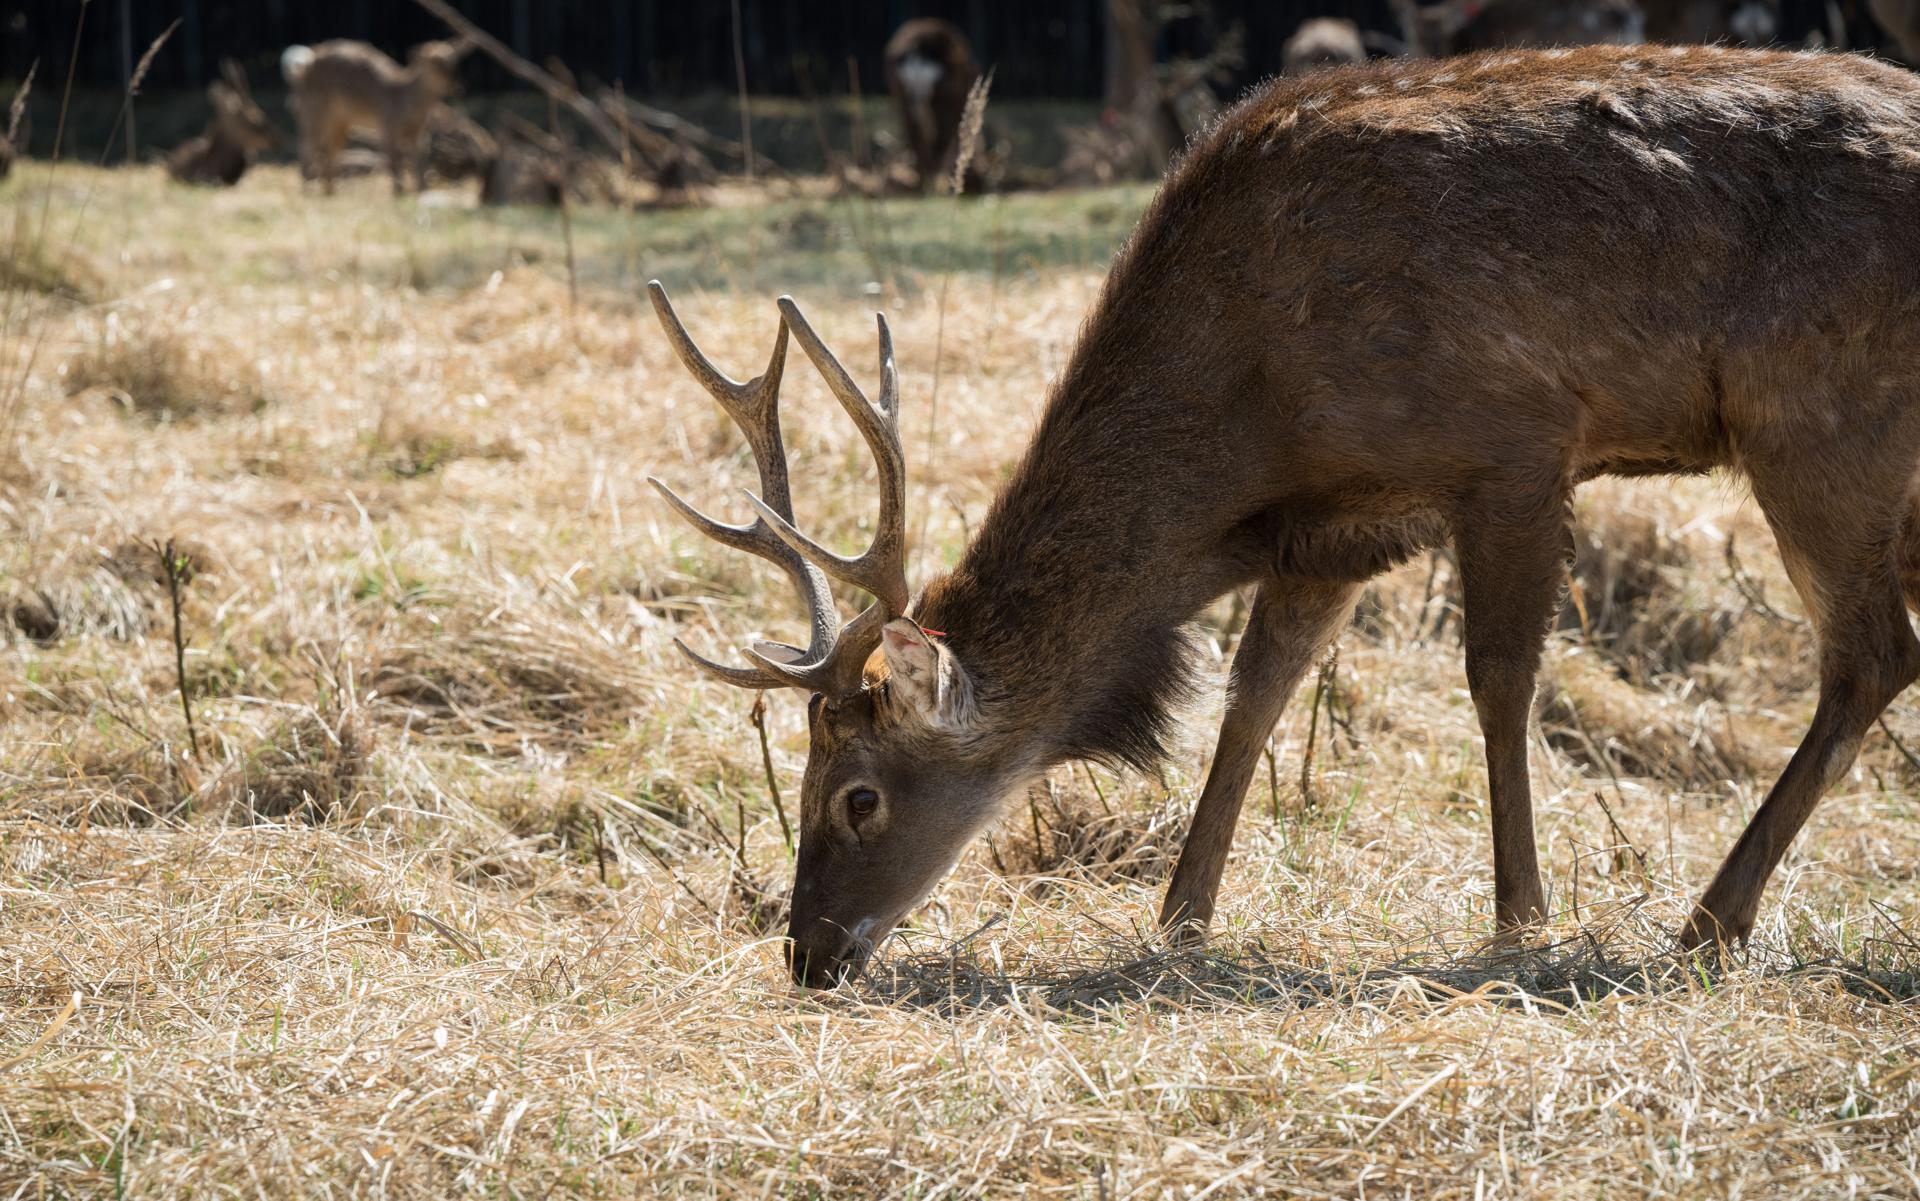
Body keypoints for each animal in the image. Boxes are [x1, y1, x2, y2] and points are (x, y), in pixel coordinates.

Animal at [280, 36, 470, 193]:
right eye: (434, 61)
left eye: (453, 60)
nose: (457, 86)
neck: (405, 98)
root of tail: (300, 73)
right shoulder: (388, 124)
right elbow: (394, 159)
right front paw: (398, 192)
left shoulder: (421, 132)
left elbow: (420, 159)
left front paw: (422, 190)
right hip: (314, 112)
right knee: (306, 146)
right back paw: (307, 189)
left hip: (340, 122)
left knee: (330, 151)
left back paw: (332, 190)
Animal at [652, 44, 1920, 982]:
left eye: (857, 795)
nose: (807, 951)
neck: (1245, 421)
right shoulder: (1334, 527)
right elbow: (1254, 695)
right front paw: (1182, 914)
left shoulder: (1516, 440)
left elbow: (1498, 679)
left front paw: (1520, 916)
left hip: (1817, 410)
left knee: (1870, 653)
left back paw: (1711, 917)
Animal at [879, 17, 983, 191]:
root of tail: (919, 47)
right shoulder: (953, 103)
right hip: (940, 100)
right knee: (937, 139)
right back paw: (932, 183)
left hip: (903, 97)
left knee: (916, 136)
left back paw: (924, 183)